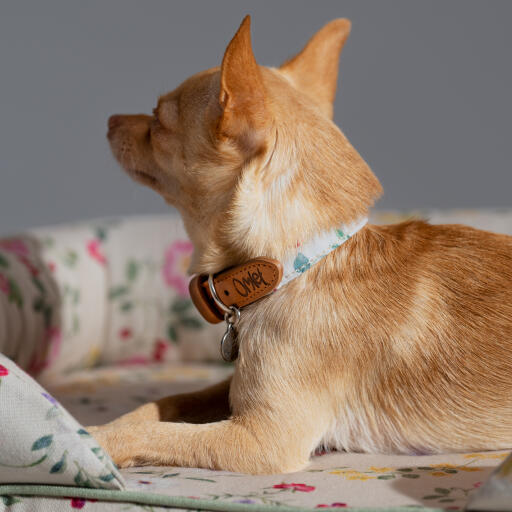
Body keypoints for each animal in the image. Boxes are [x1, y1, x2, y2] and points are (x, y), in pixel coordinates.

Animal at [90, 17, 512, 476]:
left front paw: (92, 441)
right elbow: (163, 405)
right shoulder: (237, 389)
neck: (297, 266)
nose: (109, 120)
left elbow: (159, 433)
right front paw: (96, 425)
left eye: (158, 121)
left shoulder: (261, 439)